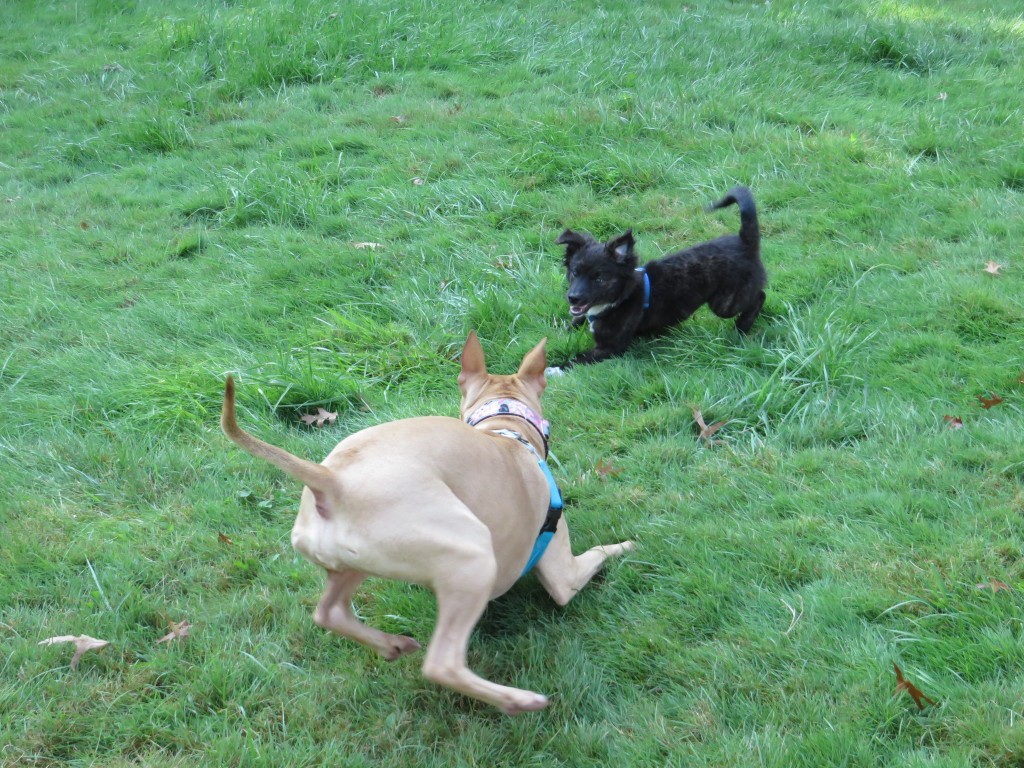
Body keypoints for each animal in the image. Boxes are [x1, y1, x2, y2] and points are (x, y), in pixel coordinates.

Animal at [222, 331, 630, 716]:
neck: (505, 430)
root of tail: (331, 479)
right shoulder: (563, 572)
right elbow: (597, 553)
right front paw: (625, 546)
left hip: (355, 563)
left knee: (328, 611)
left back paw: (390, 644)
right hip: (470, 554)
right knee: (441, 664)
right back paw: (516, 699)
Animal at [557, 186, 765, 366]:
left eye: (599, 278)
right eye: (574, 273)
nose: (572, 298)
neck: (621, 296)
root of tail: (745, 243)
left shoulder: (610, 348)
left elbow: (575, 360)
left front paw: (554, 369)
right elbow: (572, 323)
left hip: (724, 303)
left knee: (759, 296)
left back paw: (741, 327)